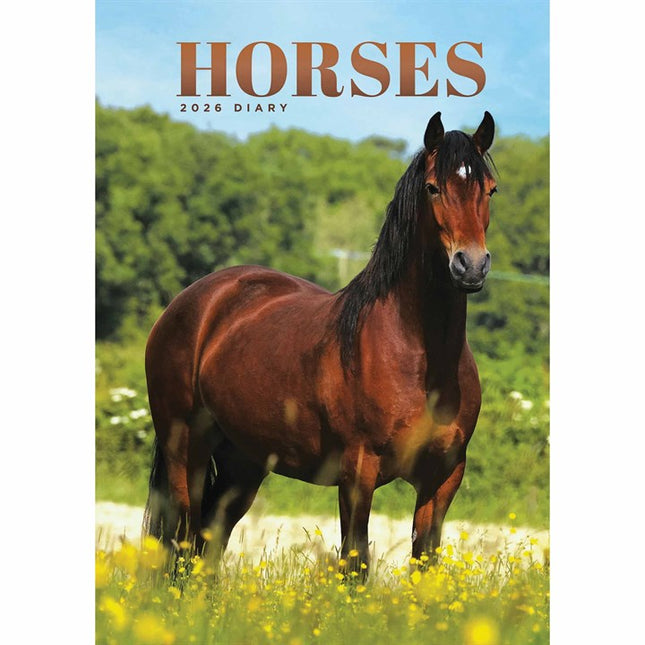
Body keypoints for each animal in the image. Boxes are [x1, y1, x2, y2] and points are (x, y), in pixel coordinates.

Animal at [143, 111, 497, 574]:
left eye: (490, 189)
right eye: (433, 187)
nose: (470, 265)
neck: (422, 358)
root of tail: (189, 301)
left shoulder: (443, 477)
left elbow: (425, 564)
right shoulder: (358, 472)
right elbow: (354, 561)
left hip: (244, 462)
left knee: (209, 540)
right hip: (185, 448)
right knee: (182, 540)